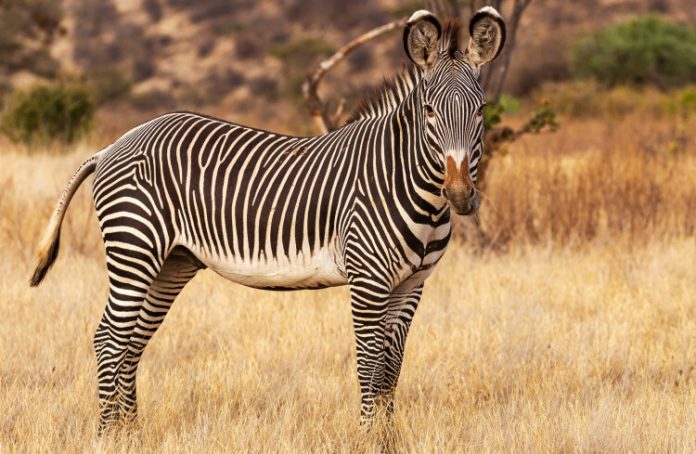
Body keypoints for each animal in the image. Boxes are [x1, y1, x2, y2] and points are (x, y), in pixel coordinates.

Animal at [30, 8, 505, 430]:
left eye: (481, 111)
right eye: (429, 112)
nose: (460, 195)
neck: (408, 184)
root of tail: (113, 144)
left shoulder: (412, 286)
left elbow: (392, 369)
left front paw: (388, 438)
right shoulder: (368, 281)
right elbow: (370, 368)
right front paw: (370, 438)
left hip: (171, 262)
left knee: (132, 342)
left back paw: (131, 434)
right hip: (135, 247)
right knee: (109, 338)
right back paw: (107, 434)